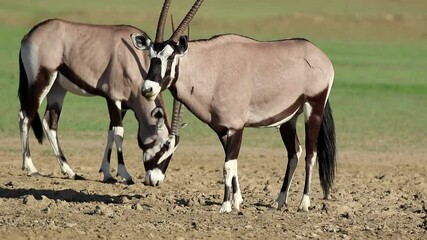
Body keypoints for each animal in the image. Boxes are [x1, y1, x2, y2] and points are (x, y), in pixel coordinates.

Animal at [18, 18, 183, 186]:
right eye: (164, 145)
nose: (156, 181)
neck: (134, 59)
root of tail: (29, 35)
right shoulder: (113, 98)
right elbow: (118, 132)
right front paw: (125, 175)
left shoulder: (123, 106)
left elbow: (111, 132)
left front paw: (107, 174)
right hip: (41, 81)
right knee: (25, 117)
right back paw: (31, 168)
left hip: (57, 88)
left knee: (50, 123)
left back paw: (71, 172)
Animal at [133, 0, 338, 212]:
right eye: (151, 55)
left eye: (171, 57)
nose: (148, 88)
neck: (211, 69)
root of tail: (320, 56)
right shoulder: (222, 129)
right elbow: (232, 164)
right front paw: (237, 201)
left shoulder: (236, 127)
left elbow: (228, 166)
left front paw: (225, 206)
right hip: (288, 119)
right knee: (294, 153)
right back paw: (279, 201)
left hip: (313, 107)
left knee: (310, 154)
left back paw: (304, 203)